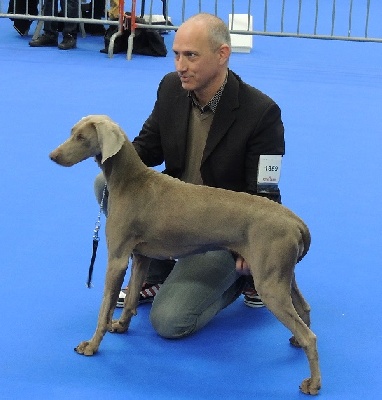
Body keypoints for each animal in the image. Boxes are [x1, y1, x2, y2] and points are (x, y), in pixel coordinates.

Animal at [49, 114, 320, 396]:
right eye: (71, 131)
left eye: (81, 137)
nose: (52, 156)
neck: (131, 181)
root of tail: (295, 221)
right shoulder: (140, 257)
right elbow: (132, 297)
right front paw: (122, 326)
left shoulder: (117, 259)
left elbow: (104, 309)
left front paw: (91, 345)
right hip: (282, 275)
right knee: (304, 308)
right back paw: (296, 342)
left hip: (269, 282)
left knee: (310, 337)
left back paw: (313, 383)